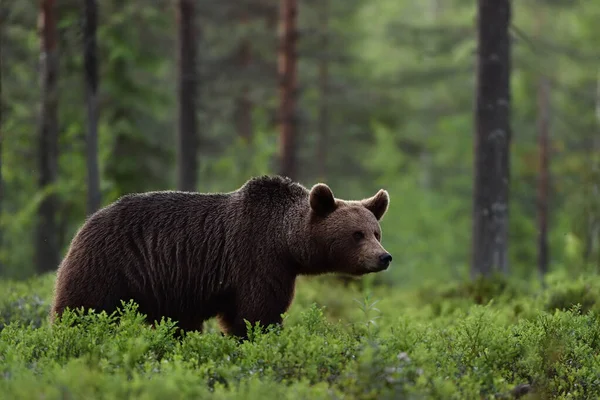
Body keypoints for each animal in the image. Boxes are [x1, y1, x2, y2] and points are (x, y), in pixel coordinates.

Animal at [49, 176, 392, 338]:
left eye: (376, 232)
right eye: (357, 234)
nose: (384, 257)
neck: (285, 242)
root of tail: (86, 223)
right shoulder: (257, 259)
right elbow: (258, 313)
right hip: (108, 264)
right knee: (81, 309)